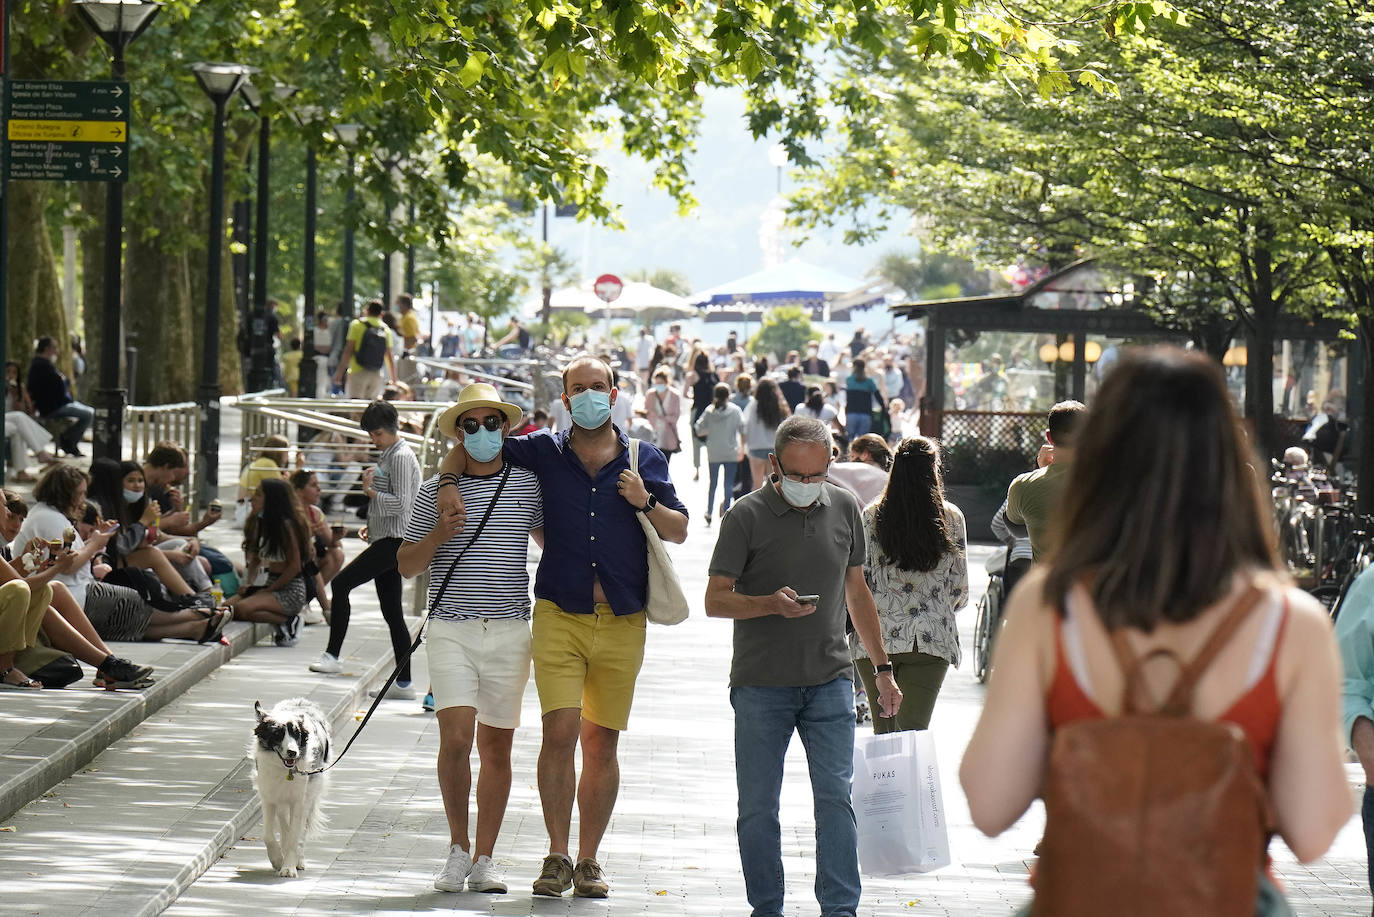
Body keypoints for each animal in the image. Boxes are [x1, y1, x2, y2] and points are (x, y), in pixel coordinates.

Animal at [251, 698, 331, 879]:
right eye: (277, 734)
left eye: (296, 734)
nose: (293, 752)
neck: (284, 770)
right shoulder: (269, 798)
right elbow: (268, 835)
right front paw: (277, 860)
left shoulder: (298, 801)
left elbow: (295, 835)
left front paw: (288, 867)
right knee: (283, 824)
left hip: (310, 794)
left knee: (300, 830)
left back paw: (298, 859)